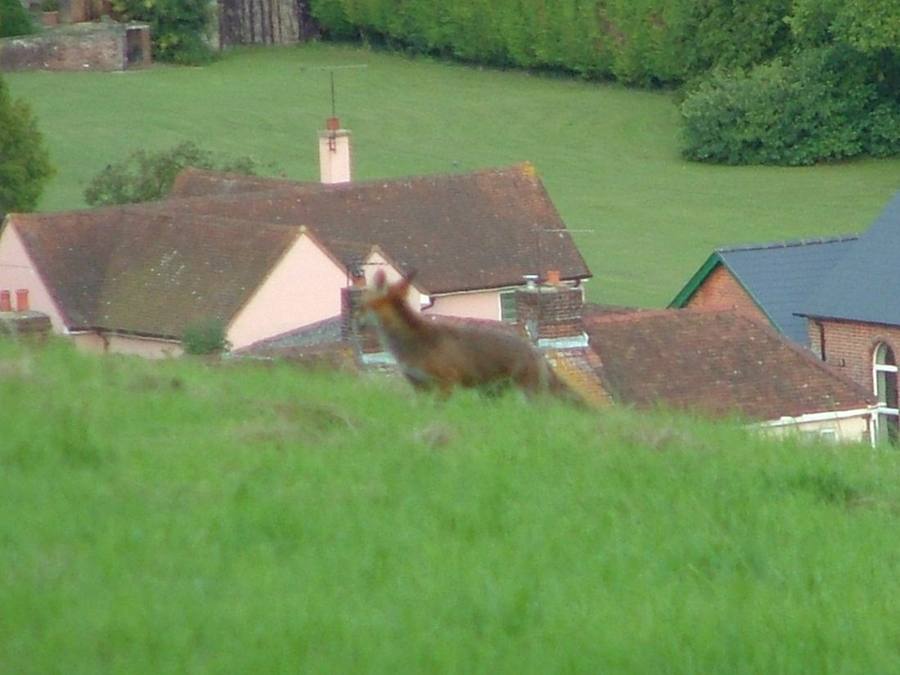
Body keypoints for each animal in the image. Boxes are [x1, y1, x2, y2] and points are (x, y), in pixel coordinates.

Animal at [362, 269, 581, 402]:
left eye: (365, 302)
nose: (357, 313)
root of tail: (535, 350)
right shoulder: (419, 386)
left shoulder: (445, 384)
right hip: (491, 394)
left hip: (526, 394)